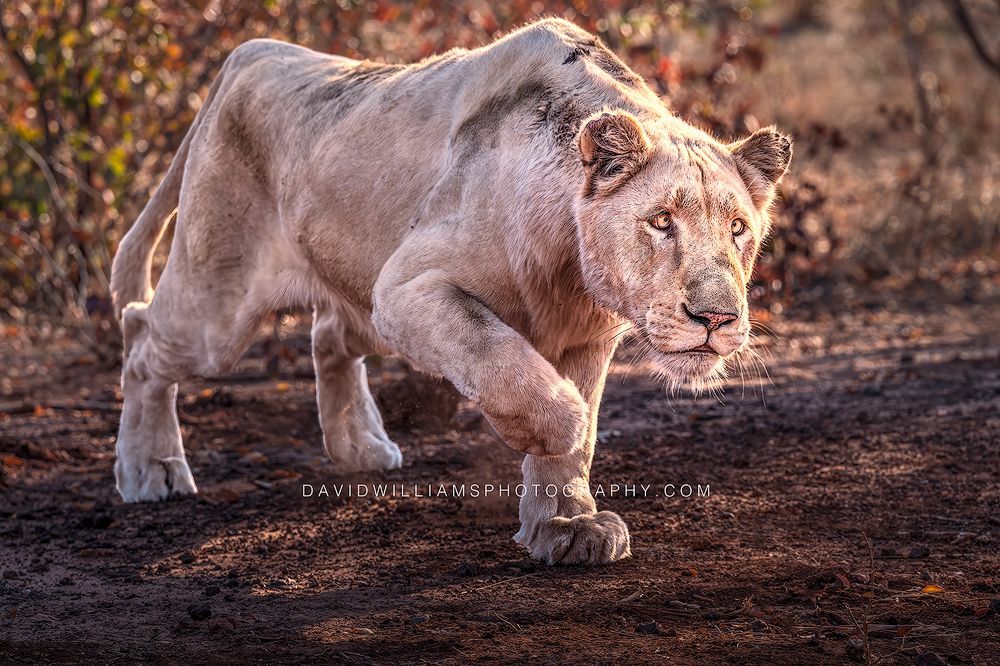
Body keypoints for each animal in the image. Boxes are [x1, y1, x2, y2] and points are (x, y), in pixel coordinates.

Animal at [109, 18, 791, 565]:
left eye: (738, 229)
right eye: (661, 221)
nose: (716, 318)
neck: (569, 271)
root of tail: (251, 53)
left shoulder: (588, 336)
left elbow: (581, 428)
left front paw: (567, 525)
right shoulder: (409, 286)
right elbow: (515, 370)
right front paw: (547, 433)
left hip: (355, 292)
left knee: (328, 336)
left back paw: (362, 447)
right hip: (219, 304)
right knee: (142, 334)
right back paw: (152, 471)